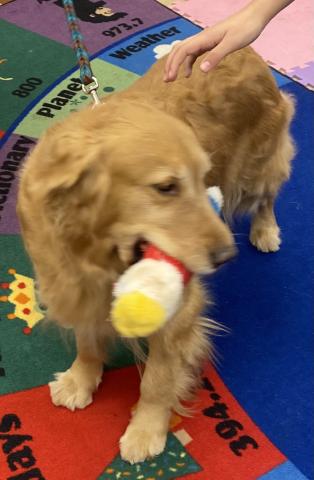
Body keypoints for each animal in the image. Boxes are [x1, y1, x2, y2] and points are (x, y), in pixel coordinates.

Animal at [16, 47, 294, 464]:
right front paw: (81, 379)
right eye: (166, 187)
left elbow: (158, 381)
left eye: (203, 179)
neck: (98, 249)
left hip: (257, 166)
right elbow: (87, 341)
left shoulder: (179, 311)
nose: (227, 256)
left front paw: (145, 430)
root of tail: (246, 50)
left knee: (268, 195)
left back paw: (265, 229)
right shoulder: (77, 286)